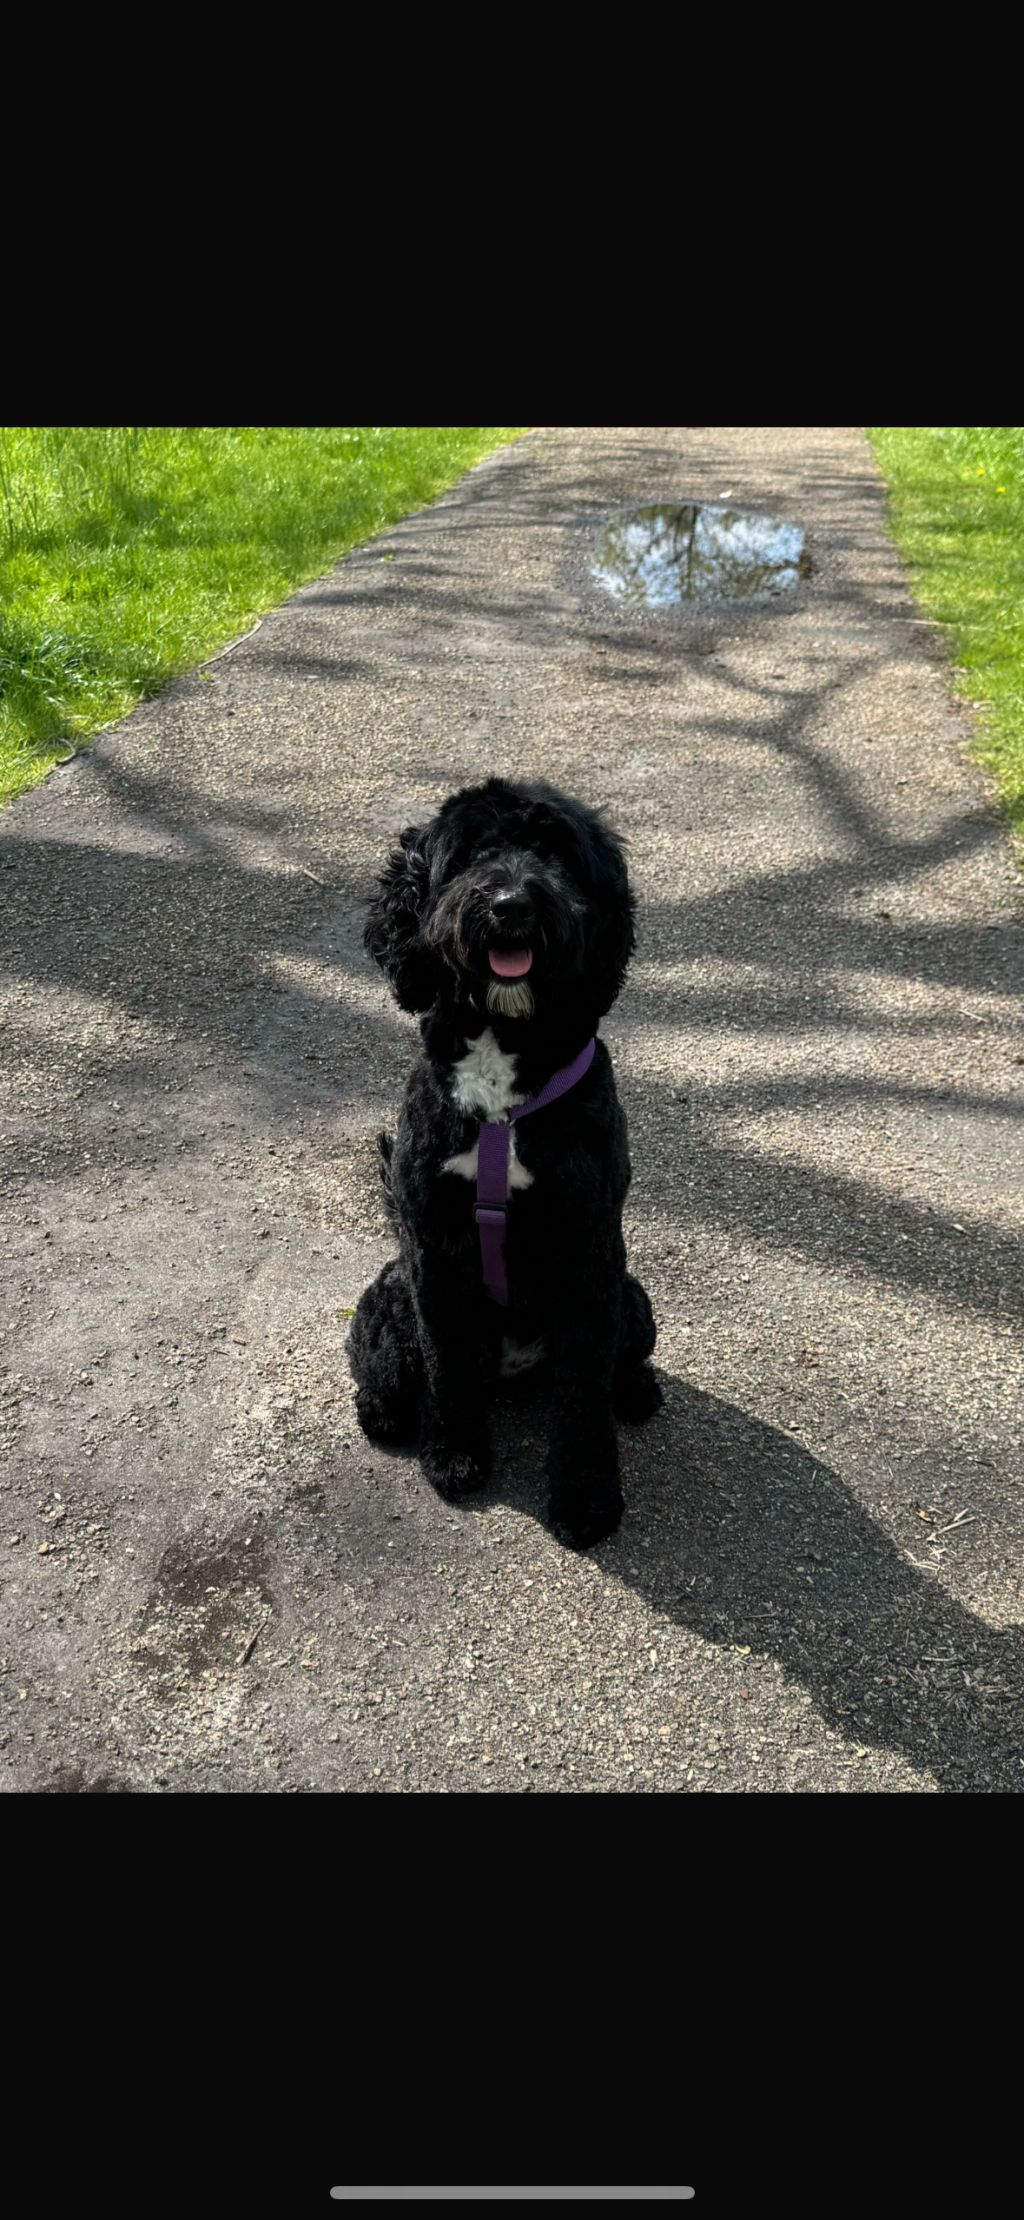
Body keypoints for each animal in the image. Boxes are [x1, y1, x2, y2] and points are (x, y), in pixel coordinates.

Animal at [348, 776, 661, 1547]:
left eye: (558, 854)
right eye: (469, 854)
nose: (512, 903)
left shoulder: (588, 1253)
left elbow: (582, 1396)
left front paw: (586, 1500)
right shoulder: (433, 1251)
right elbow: (448, 1369)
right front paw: (454, 1456)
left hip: (633, 1298)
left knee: (618, 1366)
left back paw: (637, 1391)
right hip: (389, 1298)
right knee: (388, 1372)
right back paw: (386, 1413)